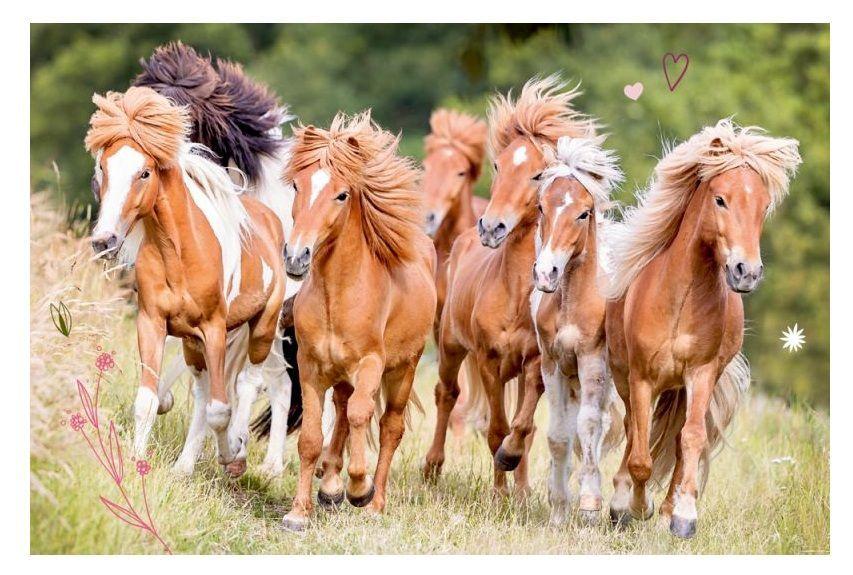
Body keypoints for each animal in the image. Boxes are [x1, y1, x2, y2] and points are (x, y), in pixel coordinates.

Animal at [85, 87, 288, 478]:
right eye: (103, 168)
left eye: (145, 172)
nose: (104, 240)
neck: (178, 254)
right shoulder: (153, 323)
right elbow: (149, 400)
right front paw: (137, 464)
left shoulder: (214, 329)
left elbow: (221, 410)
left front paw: (231, 454)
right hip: (194, 343)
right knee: (203, 391)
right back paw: (184, 466)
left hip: (262, 328)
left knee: (250, 383)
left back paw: (240, 453)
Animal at [279, 112, 436, 531]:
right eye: (297, 185)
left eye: (341, 194)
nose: (296, 256)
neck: (339, 296)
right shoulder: (311, 366)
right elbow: (311, 438)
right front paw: (299, 512)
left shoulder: (370, 364)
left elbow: (363, 414)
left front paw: (359, 489)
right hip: (341, 372)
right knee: (343, 413)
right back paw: (330, 488)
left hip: (403, 369)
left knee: (388, 426)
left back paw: (374, 502)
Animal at [423, 75, 596, 495]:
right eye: (498, 164)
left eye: (537, 174)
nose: (492, 226)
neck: (516, 296)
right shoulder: (487, 359)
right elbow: (496, 428)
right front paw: (500, 490)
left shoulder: (535, 363)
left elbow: (523, 426)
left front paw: (516, 482)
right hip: (450, 345)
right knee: (447, 395)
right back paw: (433, 468)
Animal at [604, 120, 801, 538]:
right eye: (721, 200)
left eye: (763, 206)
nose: (747, 272)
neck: (680, 299)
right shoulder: (642, 378)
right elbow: (641, 454)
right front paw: (634, 507)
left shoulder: (702, 373)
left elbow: (691, 439)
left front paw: (682, 515)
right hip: (625, 376)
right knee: (632, 430)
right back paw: (622, 504)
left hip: (684, 387)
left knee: (681, 438)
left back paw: (667, 509)